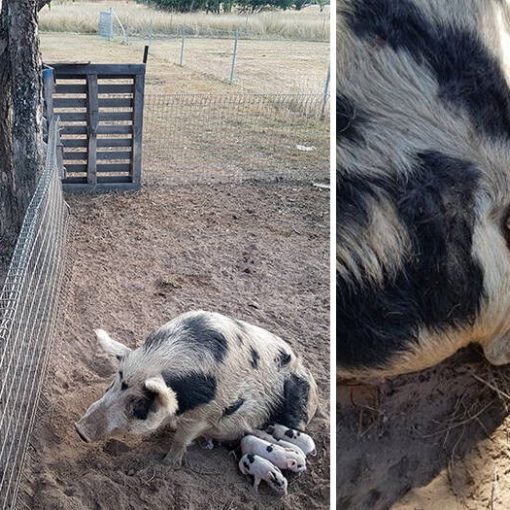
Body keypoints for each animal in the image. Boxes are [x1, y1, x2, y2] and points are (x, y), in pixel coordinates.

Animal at [74, 308, 316, 468]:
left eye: (139, 402)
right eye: (113, 383)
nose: (80, 430)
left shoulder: (204, 415)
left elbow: (181, 438)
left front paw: (169, 464)